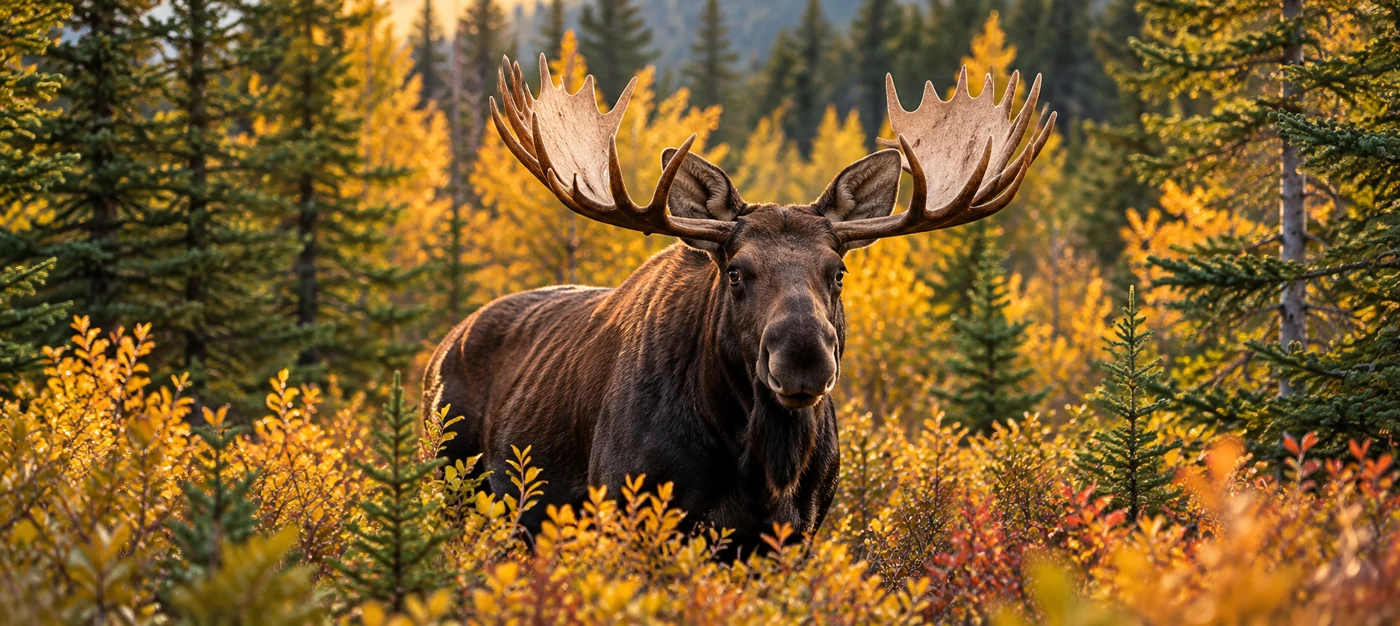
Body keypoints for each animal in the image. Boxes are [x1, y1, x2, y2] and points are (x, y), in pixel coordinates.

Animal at [423, 53, 1054, 553]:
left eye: (838, 271)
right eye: (735, 272)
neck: (762, 465)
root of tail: (439, 350)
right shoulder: (632, 513)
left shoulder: (796, 534)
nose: (802, 358)